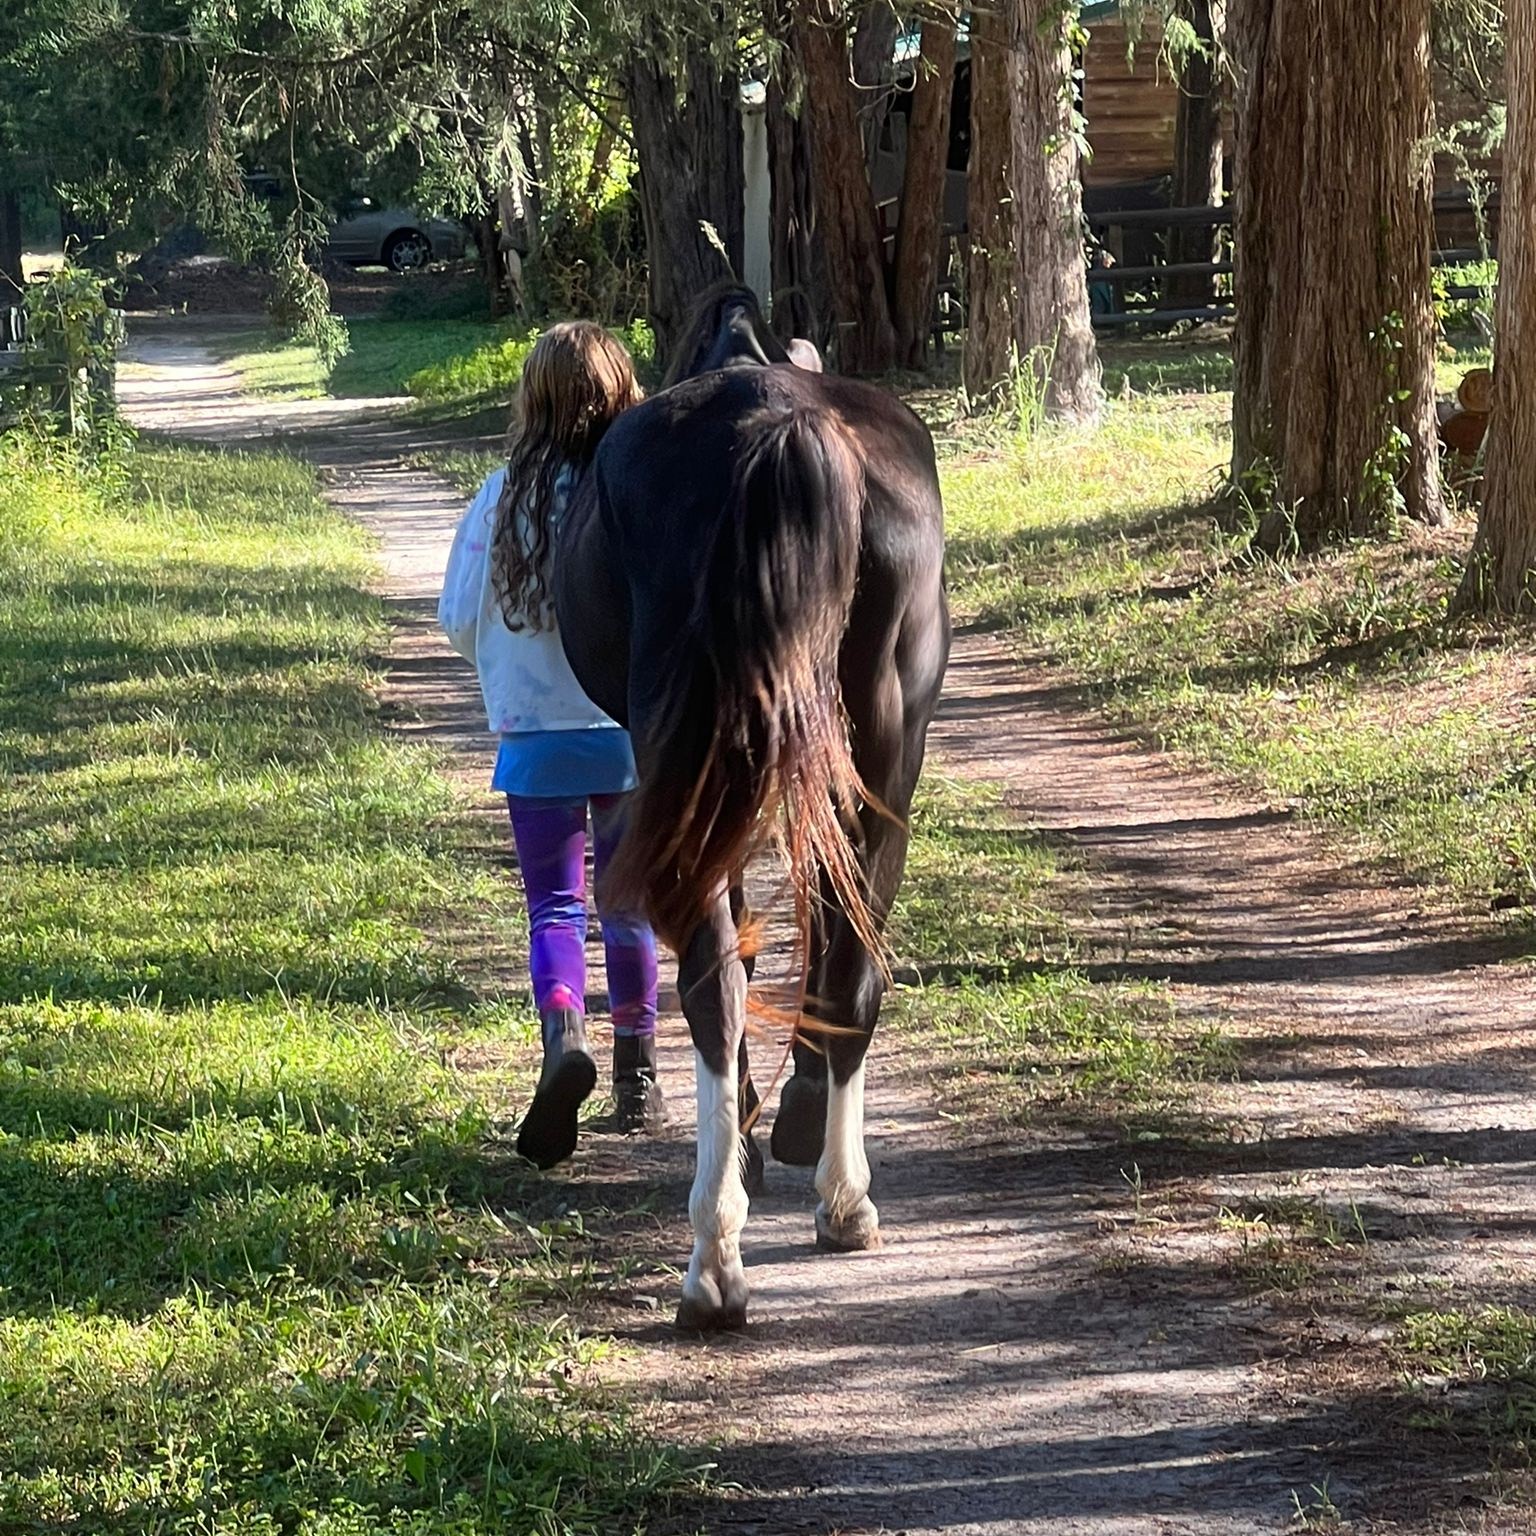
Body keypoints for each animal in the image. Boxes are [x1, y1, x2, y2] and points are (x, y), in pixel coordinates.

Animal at [554, 284, 950, 1330]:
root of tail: (782, 426)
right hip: (886, 756)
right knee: (851, 970)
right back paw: (841, 1200)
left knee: (715, 990)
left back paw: (716, 1257)